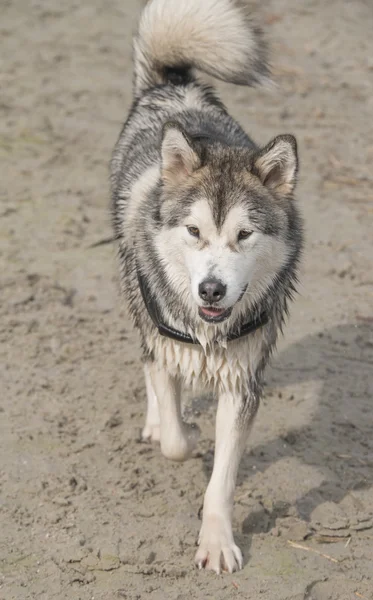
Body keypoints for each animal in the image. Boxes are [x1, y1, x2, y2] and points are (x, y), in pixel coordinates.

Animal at [109, 0, 300, 576]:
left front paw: (217, 542)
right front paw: (183, 433)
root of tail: (174, 86)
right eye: (194, 231)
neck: (208, 333)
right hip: (135, 295)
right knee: (148, 360)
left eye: (244, 234)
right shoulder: (165, 338)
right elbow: (176, 438)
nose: (212, 290)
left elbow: (223, 479)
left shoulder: (243, 381)